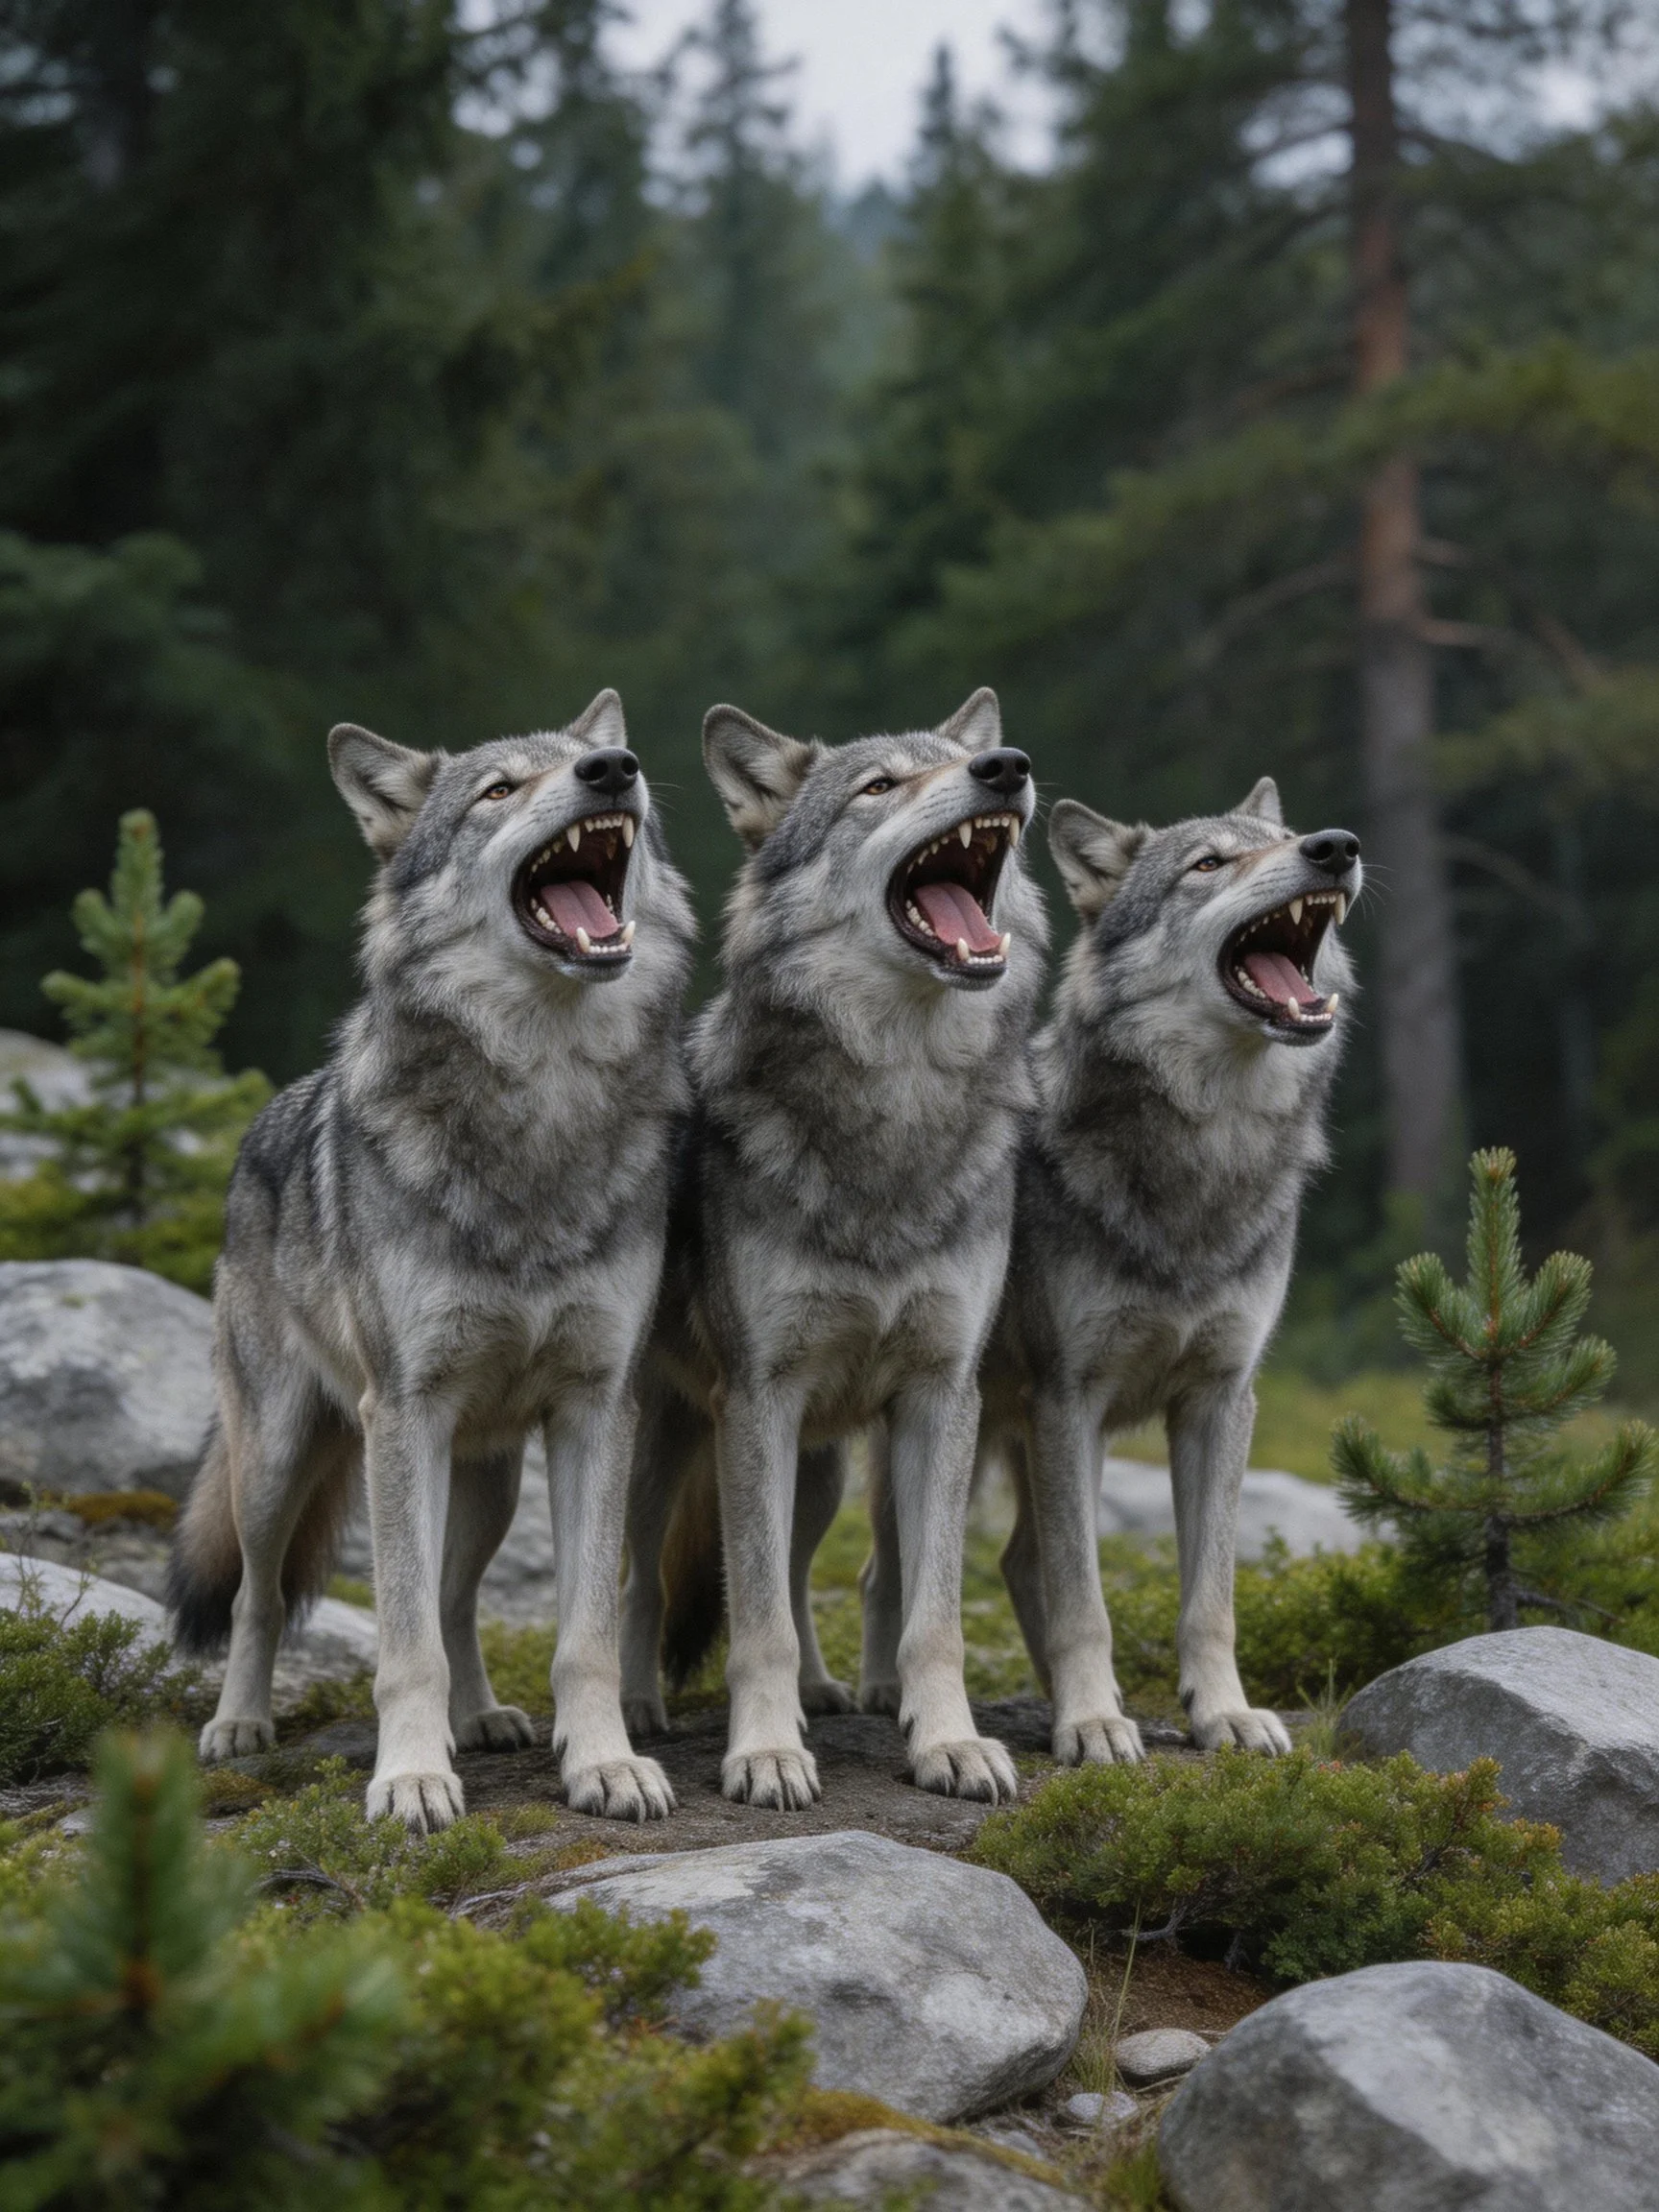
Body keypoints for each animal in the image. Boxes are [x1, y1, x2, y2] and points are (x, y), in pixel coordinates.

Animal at [169, 691, 695, 1832]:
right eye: (499, 789)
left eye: (596, 762)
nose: (615, 768)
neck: (542, 1105)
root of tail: (260, 1126)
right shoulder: (403, 1411)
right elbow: (400, 1643)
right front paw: (410, 1777)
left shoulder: (599, 1407)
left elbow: (582, 1635)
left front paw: (605, 1763)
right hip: (280, 1463)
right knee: (260, 1597)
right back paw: (239, 1726)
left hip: (483, 1479)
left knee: (455, 1597)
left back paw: (482, 1716)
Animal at [617, 690, 1046, 1810]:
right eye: (880, 785)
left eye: (961, 758)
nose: (1008, 767)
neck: (897, 1113)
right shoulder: (759, 1399)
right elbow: (754, 1615)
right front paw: (765, 1753)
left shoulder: (942, 1394)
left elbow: (930, 1613)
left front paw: (949, 1743)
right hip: (662, 1441)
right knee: (637, 1577)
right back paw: (636, 1709)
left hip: (824, 1467)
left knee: (818, 1572)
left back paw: (828, 1691)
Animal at [860, 778, 1361, 1762]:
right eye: (1208, 863)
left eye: (1283, 838)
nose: (1335, 846)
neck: (1205, 1158)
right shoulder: (1071, 1400)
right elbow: (1084, 1597)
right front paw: (1091, 1722)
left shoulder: (1221, 1398)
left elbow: (1211, 1599)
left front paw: (1222, 1713)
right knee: (892, 1572)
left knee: (1009, 1561)